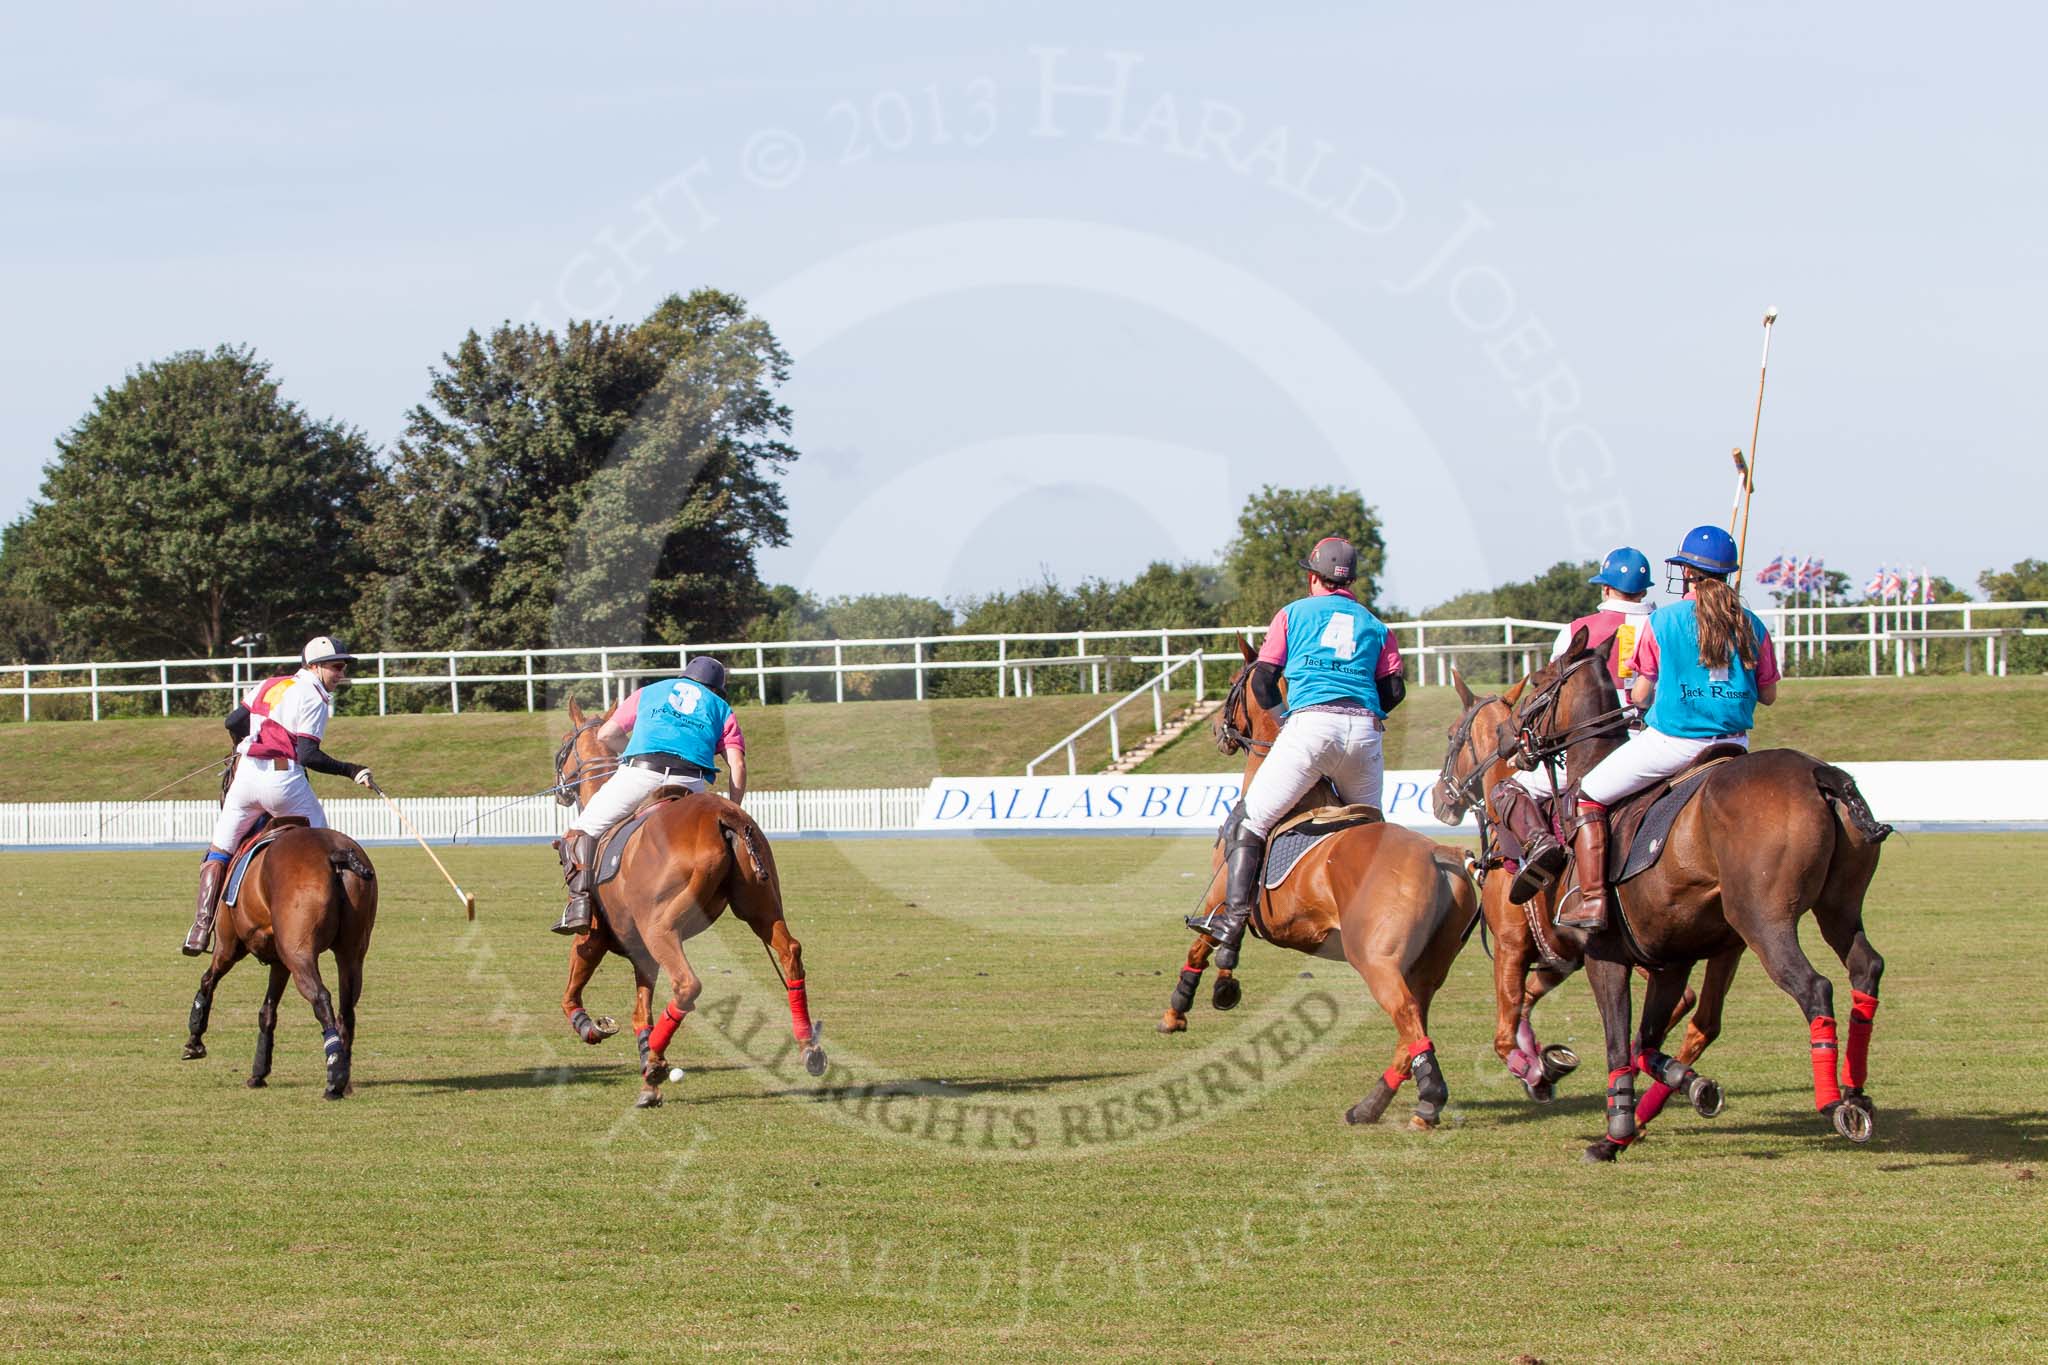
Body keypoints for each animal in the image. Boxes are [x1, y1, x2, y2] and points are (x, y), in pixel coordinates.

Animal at [181, 822, 380, 1096]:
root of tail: (336, 855)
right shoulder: (279, 962)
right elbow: (267, 1011)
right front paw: (258, 1072)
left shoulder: (228, 948)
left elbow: (208, 981)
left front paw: (194, 1041)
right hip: (350, 953)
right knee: (346, 1008)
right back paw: (344, 1077)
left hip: (299, 953)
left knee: (321, 997)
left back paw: (334, 1076)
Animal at [557, 695, 827, 1113]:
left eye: (565, 745)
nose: (561, 789)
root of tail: (723, 818)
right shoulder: (641, 952)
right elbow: (641, 1012)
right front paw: (644, 1062)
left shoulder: (595, 936)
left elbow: (571, 992)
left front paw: (590, 1027)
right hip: (760, 906)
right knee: (791, 952)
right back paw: (808, 1048)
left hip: (660, 928)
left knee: (688, 985)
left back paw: (654, 1066)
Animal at [1163, 642, 1482, 1129]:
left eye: (1235, 683)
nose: (1219, 730)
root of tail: (1439, 855)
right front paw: (1220, 987)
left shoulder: (1221, 894)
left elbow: (1207, 941)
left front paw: (1180, 1008)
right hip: (1429, 965)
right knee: (1414, 1022)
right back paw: (1372, 1104)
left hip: (1376, 959)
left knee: (1408, 1015)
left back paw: (1428, 1099)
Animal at [1433, 663, 1736, 1129]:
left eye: (1452, 735)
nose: (1437, 799)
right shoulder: (1562, 957)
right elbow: (1525, 1006)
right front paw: (1545, 1062)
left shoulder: (1510, 946)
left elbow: (1504, 1034)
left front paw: (1538, 1073)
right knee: (1694, 1013)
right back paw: (1673, 1084)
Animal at [1507, 630, 1884, 1162]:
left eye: (1539, 681)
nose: (1513, 741)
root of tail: (1819, 776)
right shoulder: (1671, 959)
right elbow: (1646, 1041)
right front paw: (1694, 1086)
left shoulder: (1605, 955)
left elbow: (1619, 1042)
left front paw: (1614, 1135)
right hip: (1839, 908)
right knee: (1865, 967)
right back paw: (1856, 1091)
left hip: (1764, 919)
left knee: (1814, 986)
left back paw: (1835, 1104)